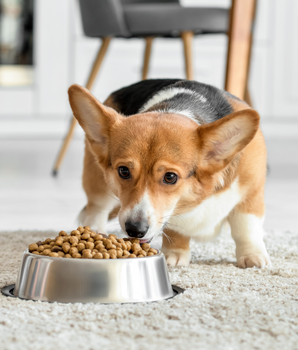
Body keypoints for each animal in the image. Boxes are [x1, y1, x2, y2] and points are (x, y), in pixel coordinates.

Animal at [68, 79, 272, 270]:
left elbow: (245, 228)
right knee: (97, 209)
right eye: (124, 171)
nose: (135, 230)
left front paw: (252, 256)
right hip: (98, 183)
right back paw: (95, 231)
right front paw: (175, 254)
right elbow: (176, 230)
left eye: (170, 177)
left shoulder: (252, 194)